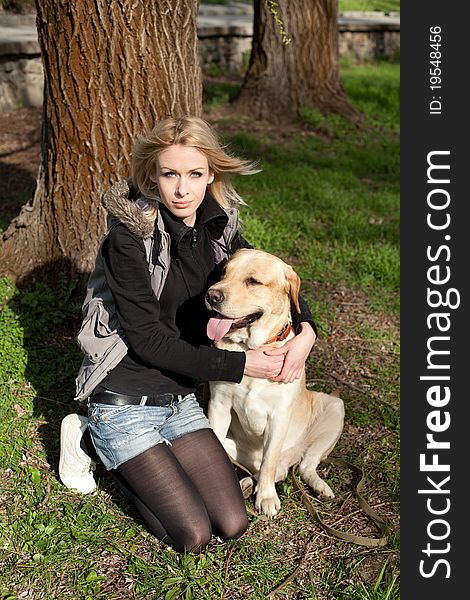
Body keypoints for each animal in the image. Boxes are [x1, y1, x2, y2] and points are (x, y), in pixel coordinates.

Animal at [206, 246, 346, 516]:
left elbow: (269, 460)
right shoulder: (219, 404)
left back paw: (319, 487)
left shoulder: (279, 415)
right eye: (224, 272)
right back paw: (248, 483)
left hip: (335, 408)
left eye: (253, 281)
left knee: (301, 466)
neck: (251, 347)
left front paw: (267, 497)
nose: (211, 296)